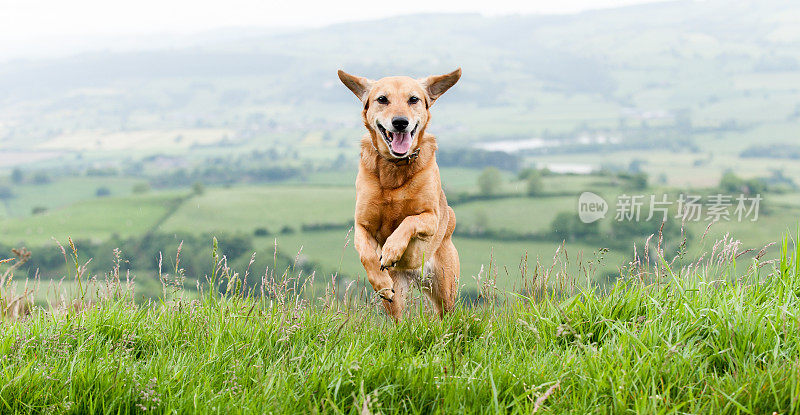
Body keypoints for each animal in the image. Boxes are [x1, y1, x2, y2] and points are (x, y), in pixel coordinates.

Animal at [338, 68, 462, 322]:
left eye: (413, 99)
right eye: (382, 99)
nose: (400, 122)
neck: (395, 168)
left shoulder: (431, 218)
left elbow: (408, 220)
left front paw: (392, 250)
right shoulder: (362, 225)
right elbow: (367, 255)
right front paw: (381, 281)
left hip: (445, 287)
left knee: (446, 314)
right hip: (398, 295)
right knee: (399, 318)